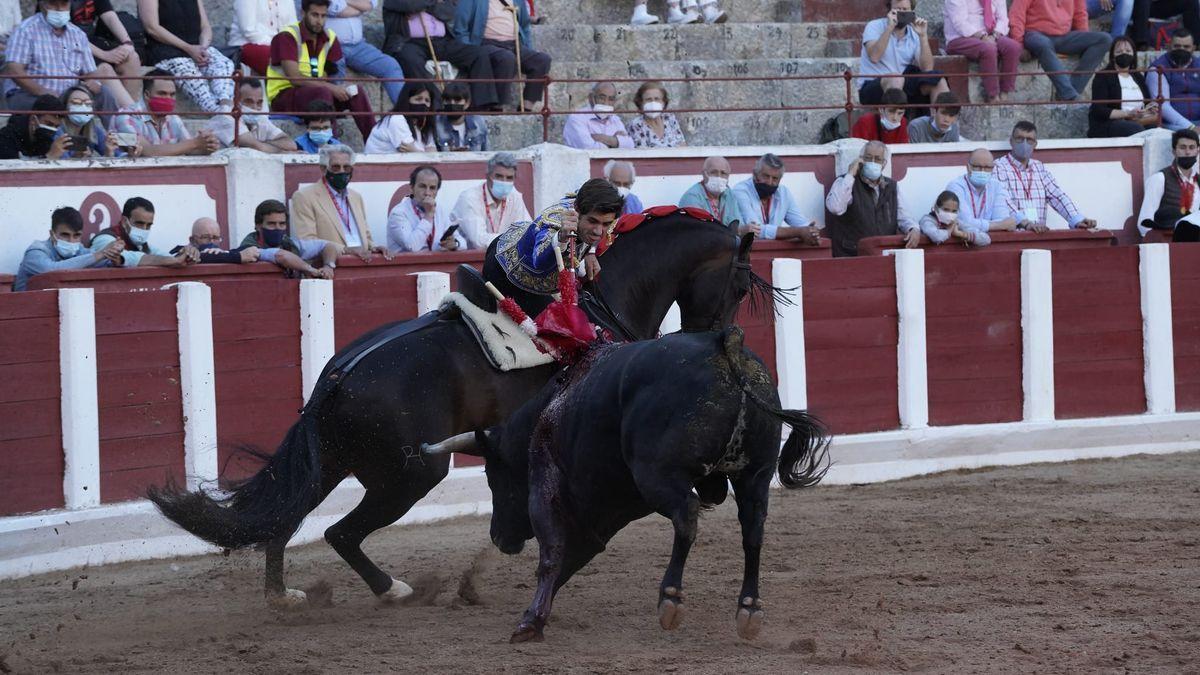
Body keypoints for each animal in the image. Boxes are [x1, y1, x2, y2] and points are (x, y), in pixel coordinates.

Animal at [147, 212, 777, 600]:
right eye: (739, 285)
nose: (716, 336)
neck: (604, 302)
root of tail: (336, 376)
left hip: (333, 461)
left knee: (283, 520)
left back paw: (285, 596)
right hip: (413, 472)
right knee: (340, 534)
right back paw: (393, 589)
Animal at [427, 326, 830, 638]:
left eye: (493, 475)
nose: (498, 537)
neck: (549, 407)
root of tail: (726, 341)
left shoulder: (546, 479)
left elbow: (553, 551)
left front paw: (530, 622)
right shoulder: (606, 512)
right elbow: (576, 553)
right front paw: (539, 612)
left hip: (659, 477)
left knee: (687, 515)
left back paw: (670, 597)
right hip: (754, 477)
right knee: (753, 530)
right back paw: (748, 609)